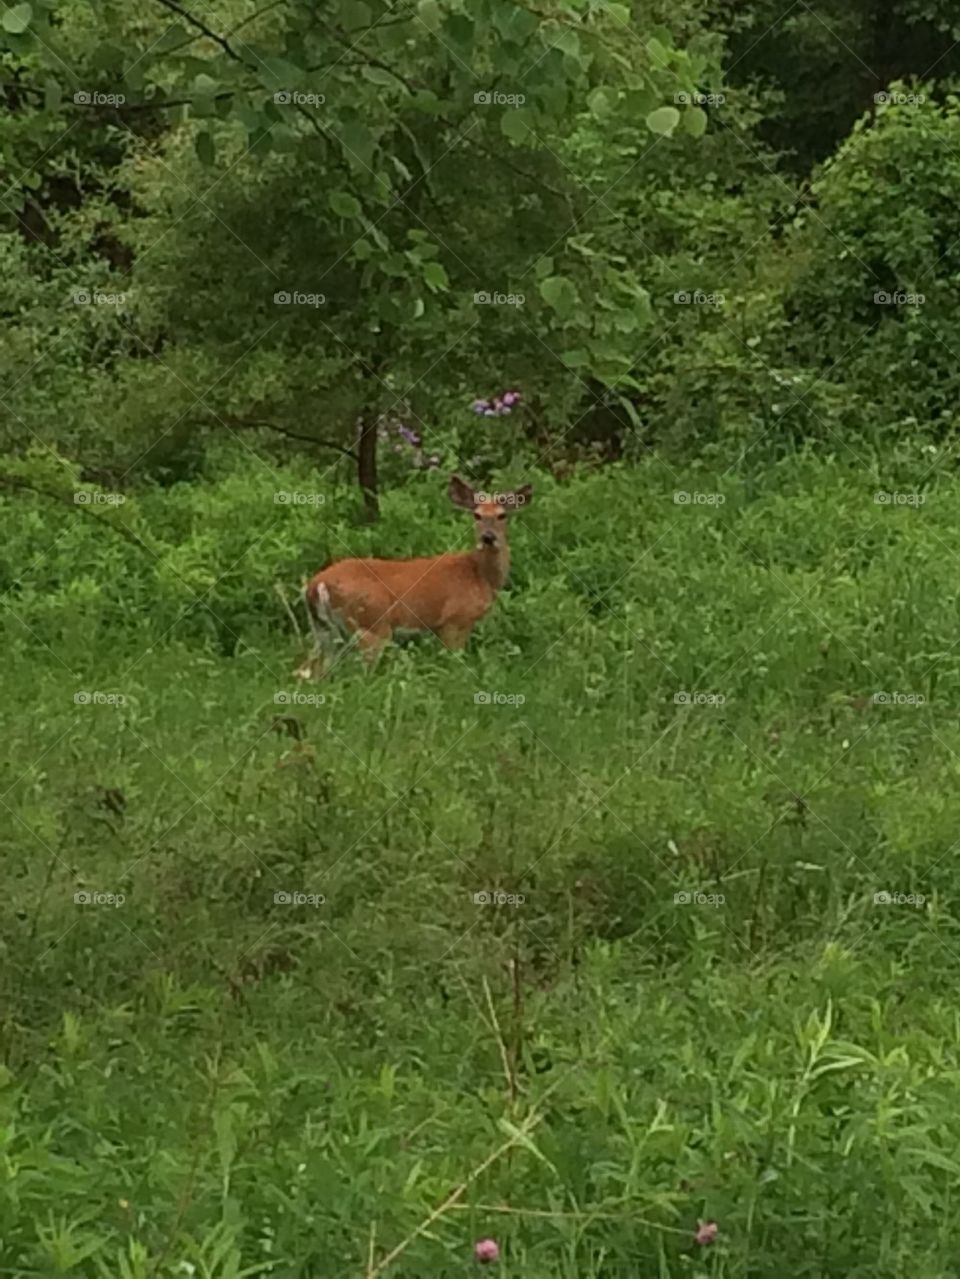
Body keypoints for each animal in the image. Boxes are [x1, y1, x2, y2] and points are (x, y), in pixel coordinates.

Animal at [295, 475, 532, 678]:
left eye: (502, 515)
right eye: (477, 515)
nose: (488, 537)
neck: (479, 575)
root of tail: (316, 585)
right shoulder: (454, 621)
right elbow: (454, 663)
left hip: (323, 630)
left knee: (312, 670)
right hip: (371, 624)